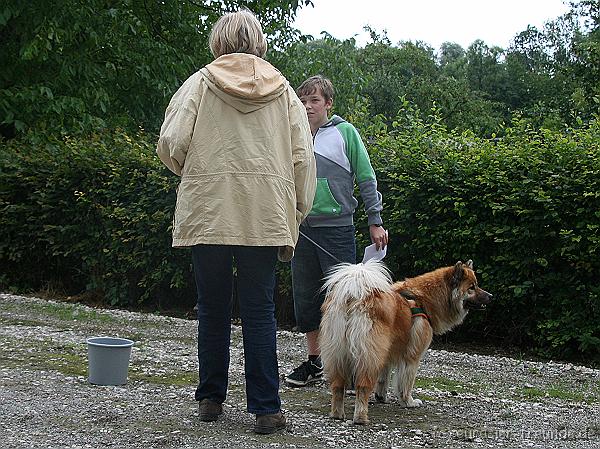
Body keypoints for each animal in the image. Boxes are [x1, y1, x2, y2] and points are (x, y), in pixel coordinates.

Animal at [318, 260, 492, 424]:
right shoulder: (412, 356)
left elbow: (383, 379)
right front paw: (408, 401)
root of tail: (354, 296)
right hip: (368, 355)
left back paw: (337, 414)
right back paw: (360, 417)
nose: (491, 296)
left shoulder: (386, 353)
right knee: (363, 385)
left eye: (477, 285)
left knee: (338, 385)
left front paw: (381, 397)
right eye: (472, 287)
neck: (423, 300)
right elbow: (406, 382)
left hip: (340, 353)